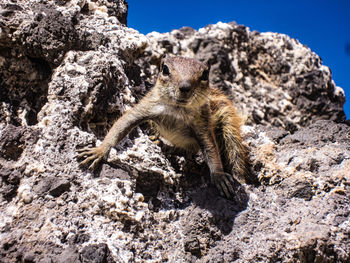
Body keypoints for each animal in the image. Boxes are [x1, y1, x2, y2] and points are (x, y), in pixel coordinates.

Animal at [77, 55, 252, 200]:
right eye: (166, 69)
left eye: (204, 75)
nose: (185, 87)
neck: (177, 110)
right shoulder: (146, 107)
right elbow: (121, 125)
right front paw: (99, 151)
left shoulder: (203, 125)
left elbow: (211, 149)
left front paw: (219, 176)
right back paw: (159, 141)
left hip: (228, 125)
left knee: (231, 152)